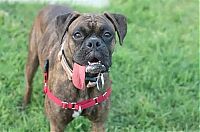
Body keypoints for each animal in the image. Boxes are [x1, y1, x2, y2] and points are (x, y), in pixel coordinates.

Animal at [23, 4, 126, 132]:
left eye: (107, 34)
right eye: (77, 34)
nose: (94, 43)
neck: (84, 81)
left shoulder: (99, 123)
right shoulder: (57, 125)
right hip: (32, 59)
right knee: (29, 84)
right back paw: (24, 105)